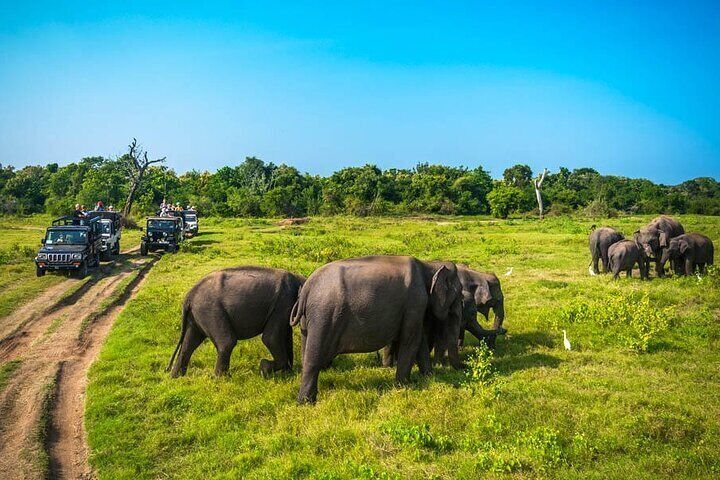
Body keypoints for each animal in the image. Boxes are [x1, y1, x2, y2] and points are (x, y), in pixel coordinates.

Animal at [167, 266, 304, 378]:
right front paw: (264, 369)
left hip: (196, 315)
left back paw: (176, 377)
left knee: (189, 343)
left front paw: (288, 374)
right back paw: (223, 379)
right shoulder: (282, 302)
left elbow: (286, 335)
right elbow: (271, 338)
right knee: (227, 342)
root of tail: (189, 296)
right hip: (210, 310)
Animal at [290, 255, 464, 404]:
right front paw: (404, 386)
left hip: (309, 320)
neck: (429, 264)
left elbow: (418, 340)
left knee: (306, 353)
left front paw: (428, 377)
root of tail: (306, 288)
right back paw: (306, 403)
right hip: (324, 315)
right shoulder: (416, 301)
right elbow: (410, 340)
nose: (464, 367)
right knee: (313, 357)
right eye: (458, 295)